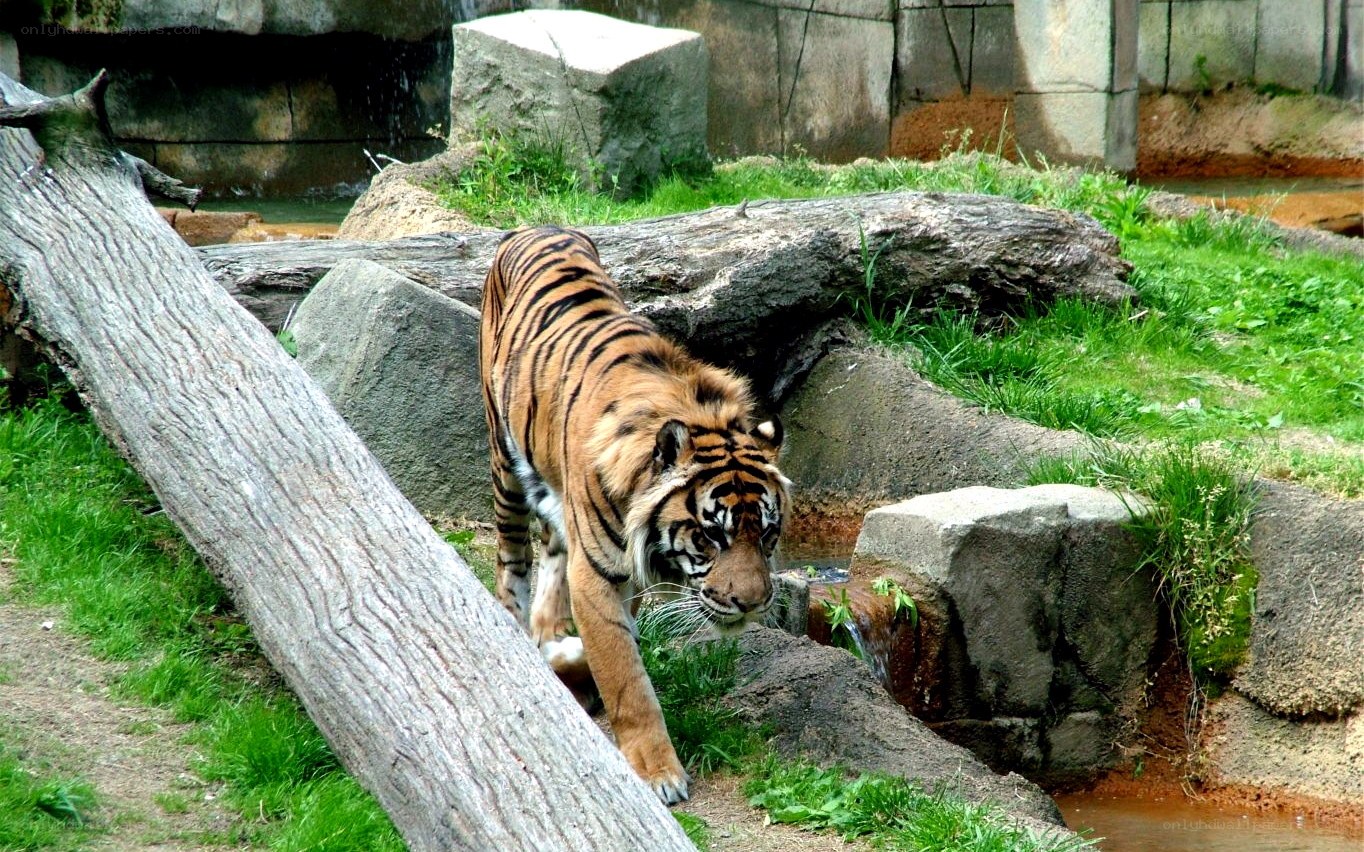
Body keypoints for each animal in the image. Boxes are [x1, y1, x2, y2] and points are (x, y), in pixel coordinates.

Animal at [479, 225, 790, 804]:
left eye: (767, 533)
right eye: (710, 537)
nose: (753, 605)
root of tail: (539, 226)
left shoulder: (623, 571)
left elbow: (613, 649)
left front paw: (566, 658)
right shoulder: (601, 572)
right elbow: (627, 678)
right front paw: (658, 774)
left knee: (551, 551)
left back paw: (548, 631)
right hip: (503, 459)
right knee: (512, 557)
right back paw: (515, 621)